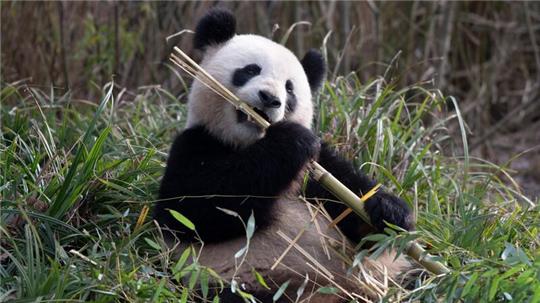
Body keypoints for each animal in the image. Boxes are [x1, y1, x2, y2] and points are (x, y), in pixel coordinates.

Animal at [154, 8, 416, 303]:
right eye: (250, 70)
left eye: (290, 88)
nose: (269, 98)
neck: (247, 143)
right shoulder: (195, 144)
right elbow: (194, 208)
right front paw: (290, 140)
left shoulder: (319, 167)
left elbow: (351, 209)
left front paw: (389, 211)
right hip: (240, 283)